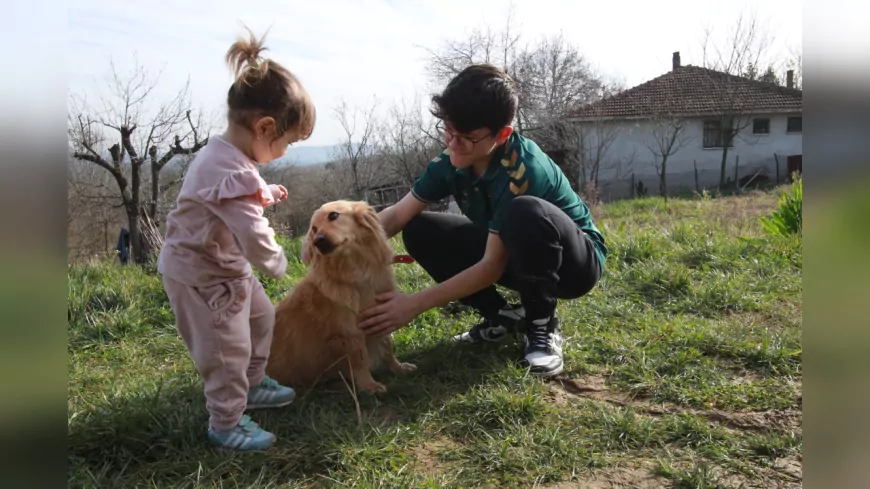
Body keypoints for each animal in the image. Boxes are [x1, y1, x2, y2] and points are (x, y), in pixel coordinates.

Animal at [264, 198, 418, 392]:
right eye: (314, 229)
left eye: (333, 215)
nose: (318, 241)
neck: (355, 270)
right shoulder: (349, 333)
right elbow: (360, 360)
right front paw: (369, 385)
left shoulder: (382, 315)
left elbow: (387, 348)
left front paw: (398, 368)